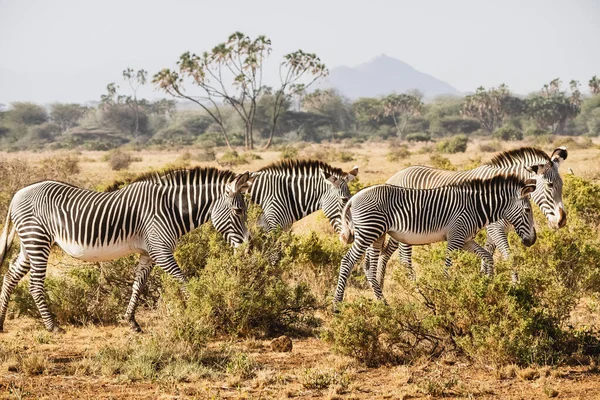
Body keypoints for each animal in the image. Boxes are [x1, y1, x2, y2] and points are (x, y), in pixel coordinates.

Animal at [0, 167, 252, 332]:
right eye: (239, 211)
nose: (247, 247)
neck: (171, 208)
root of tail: (17, 194)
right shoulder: (161, 250)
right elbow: (184, 281)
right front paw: (201, 312)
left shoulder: (148, 254)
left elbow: (137, 286)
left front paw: (132, 322)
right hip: (37, 239)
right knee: (34, 284)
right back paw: (52, 327)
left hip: (30, 243)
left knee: (10, 276)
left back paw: (1, 322)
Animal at [336, 173, 536, 306]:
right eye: (527, 210)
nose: (532, 241)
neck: (475, 207)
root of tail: (354, 197)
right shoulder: (455, 237)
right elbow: (446, 268)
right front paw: (447, 294)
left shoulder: (466, 239)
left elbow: (487, 256)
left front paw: (488, 285)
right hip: (368, 232)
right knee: (347, 261)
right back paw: (337, 305)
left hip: (376, 234)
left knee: (368, 266)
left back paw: (383, 303)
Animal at [376, 147, 568, 284]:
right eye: (550, 185)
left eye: (562, 185)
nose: (561, 221)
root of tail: (393, 177)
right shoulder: (496, 227)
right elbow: (508, 255)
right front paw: (516, 286)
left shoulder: (494, 229)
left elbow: (488, 254)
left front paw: (486, 281)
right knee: (404, 258)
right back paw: (413, 287)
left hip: (397, 231)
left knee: (385, 253)